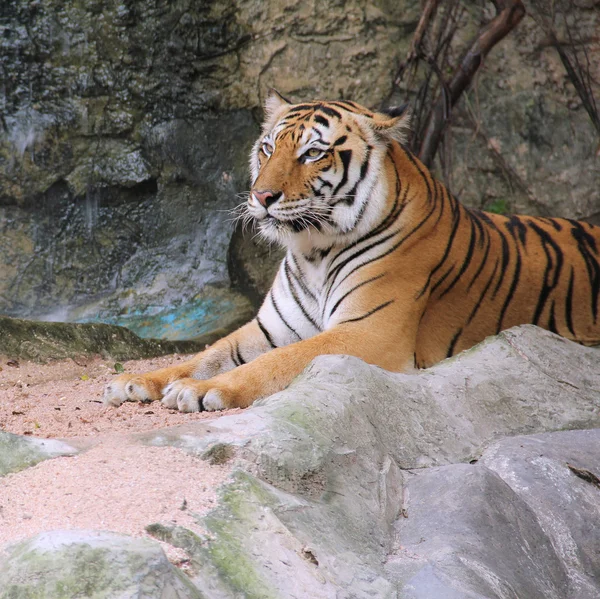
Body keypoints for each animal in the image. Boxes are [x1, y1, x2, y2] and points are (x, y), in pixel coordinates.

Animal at [103, 91, 600, 414]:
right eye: (267, 147)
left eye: (312, 154)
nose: (261, 196)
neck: (313, 251)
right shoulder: (269, 328)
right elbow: (204, 354)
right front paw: (135, 381)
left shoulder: (369, 332)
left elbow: (275, 362)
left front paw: (202, 390)